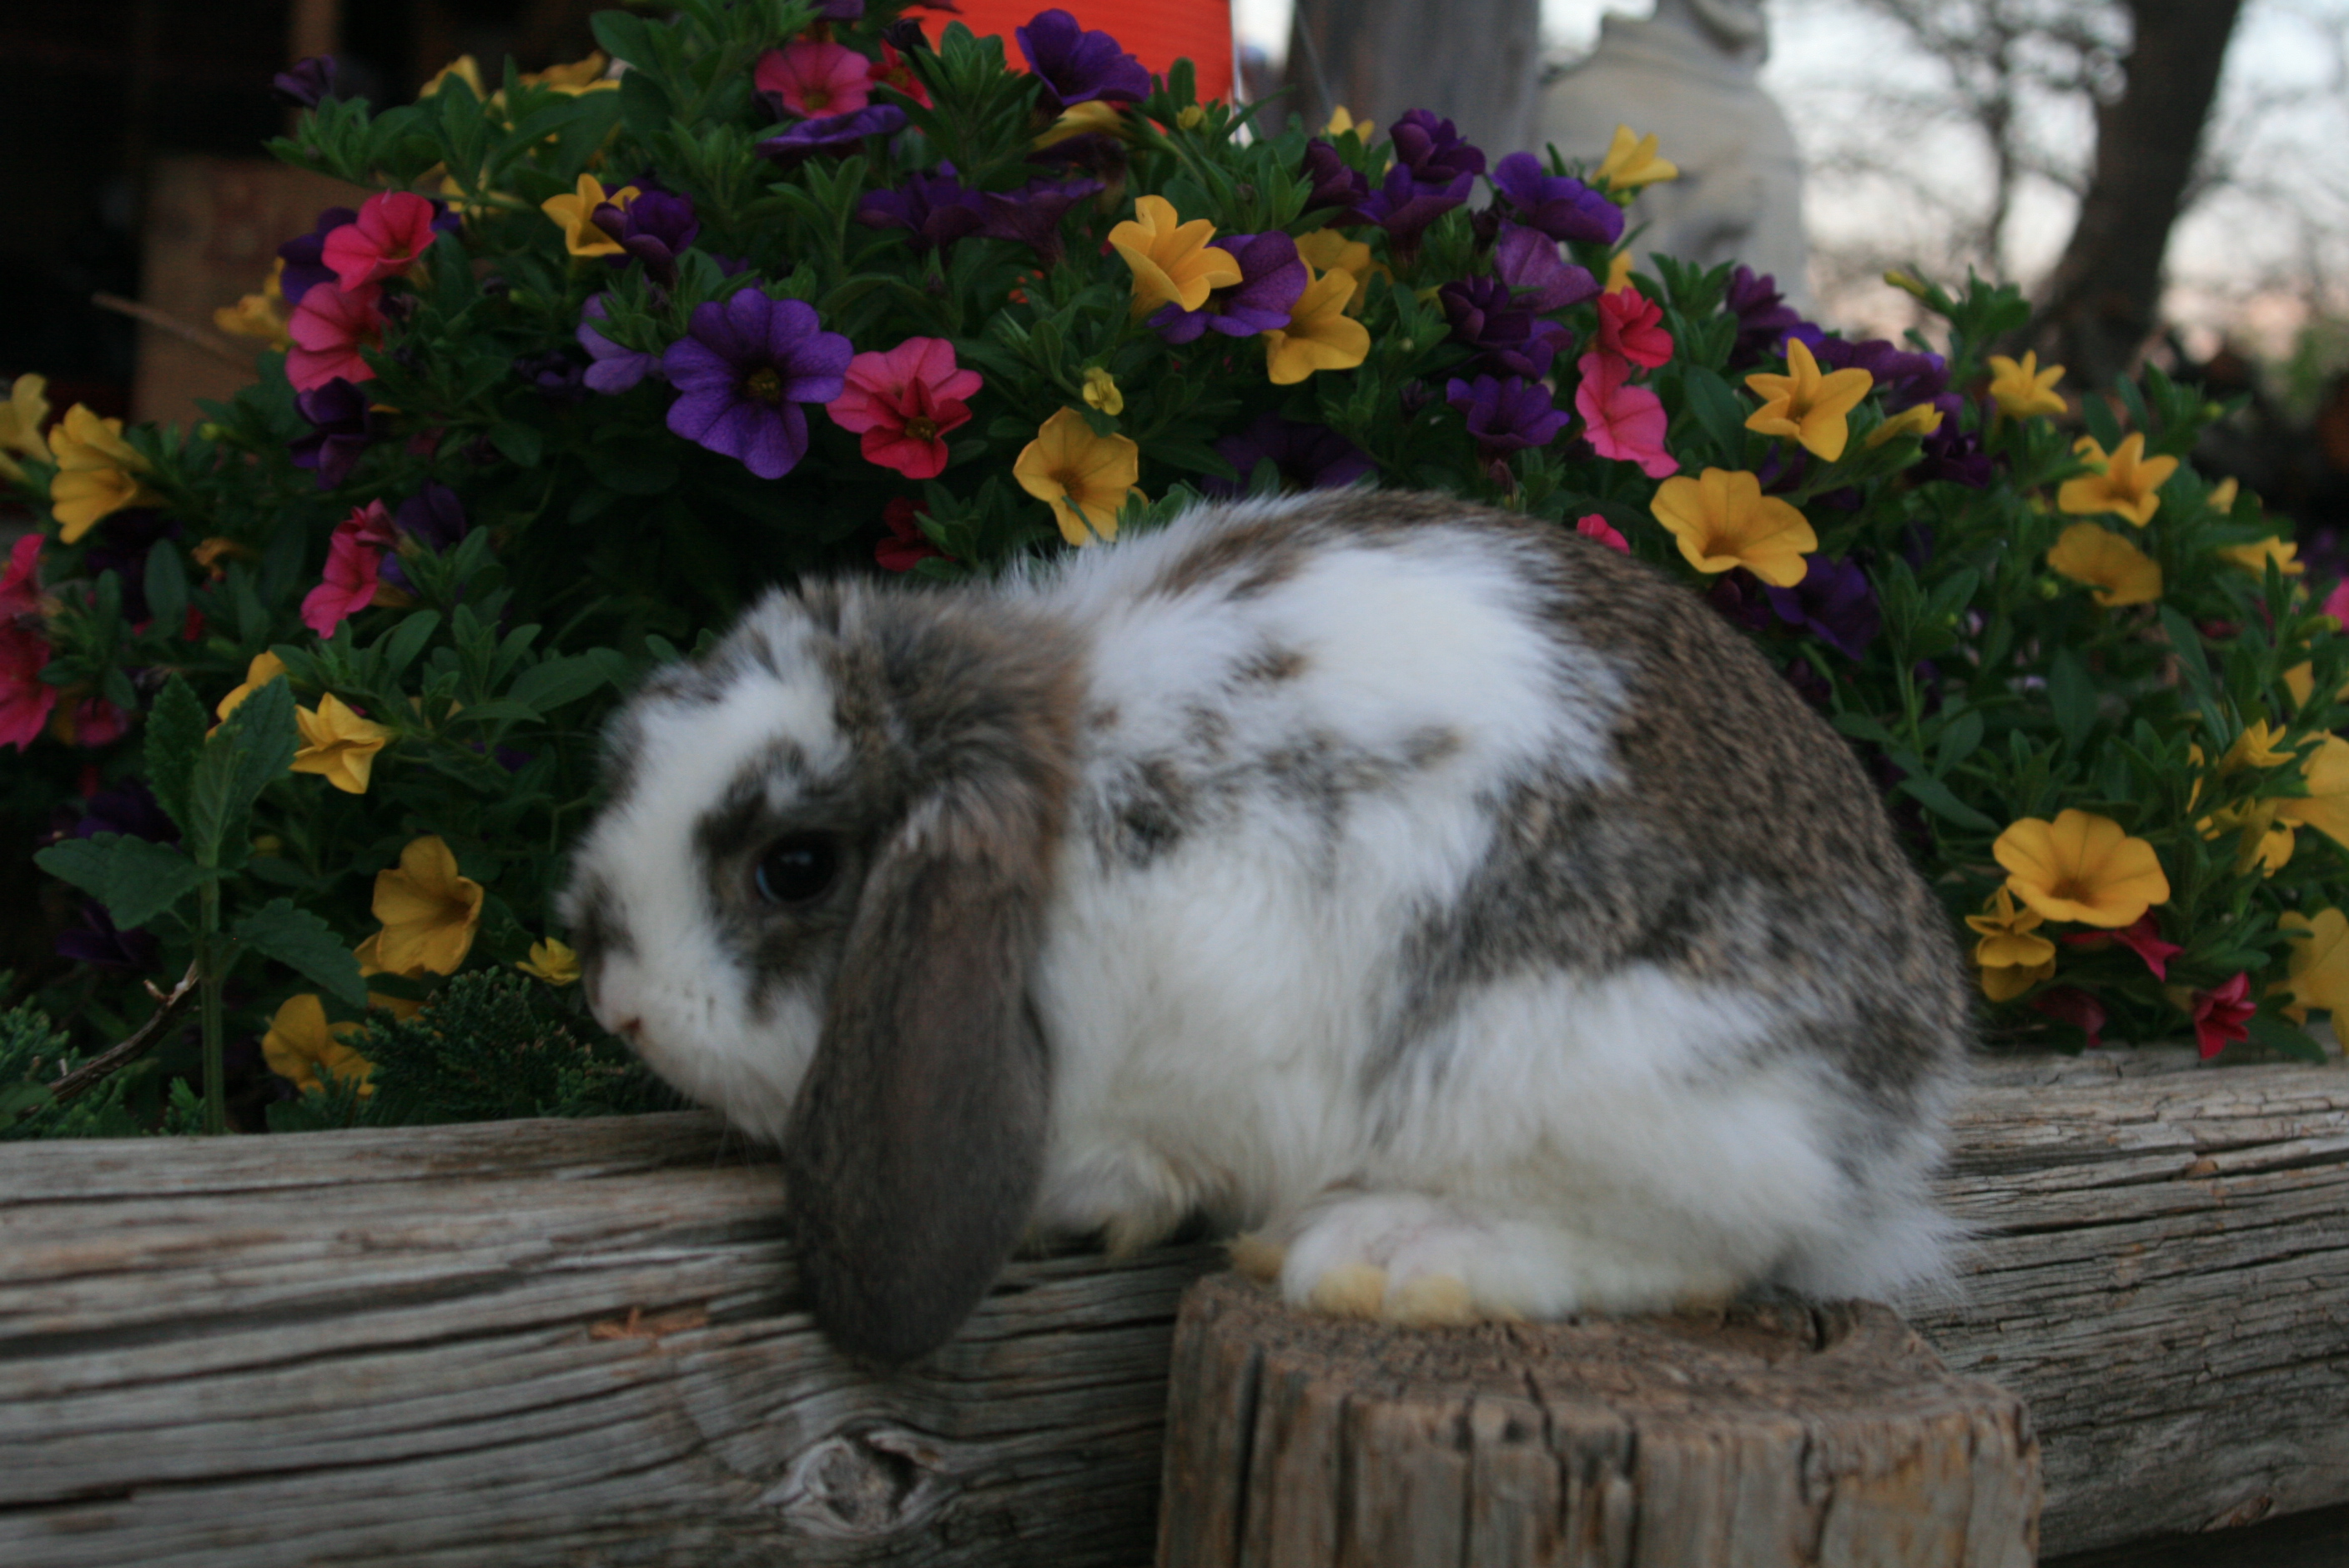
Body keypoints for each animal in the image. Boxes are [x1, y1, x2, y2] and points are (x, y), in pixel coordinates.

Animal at [559, 489, 1971, 1365]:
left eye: (794, 869)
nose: (621, 1008)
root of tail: (1895, 1110)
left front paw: (1089, 1199)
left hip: (1590, 1070)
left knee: (1708, 1251)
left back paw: (1391, 1255)